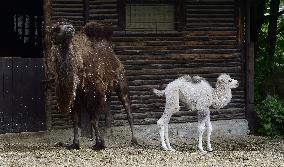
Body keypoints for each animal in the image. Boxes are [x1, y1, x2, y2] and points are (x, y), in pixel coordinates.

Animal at [49, 20, 138, 149]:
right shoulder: (77, 95)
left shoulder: (94, 92)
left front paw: (99, 144)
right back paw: (109, 137)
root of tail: (116, 59)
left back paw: (134, 140)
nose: (70, 28)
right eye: (56, 28)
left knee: (128, 110)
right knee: (108, 115)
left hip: (121, 83)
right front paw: (75, 144)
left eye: (66, 25)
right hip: (108, 91)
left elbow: (94, 119)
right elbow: (76, 120)